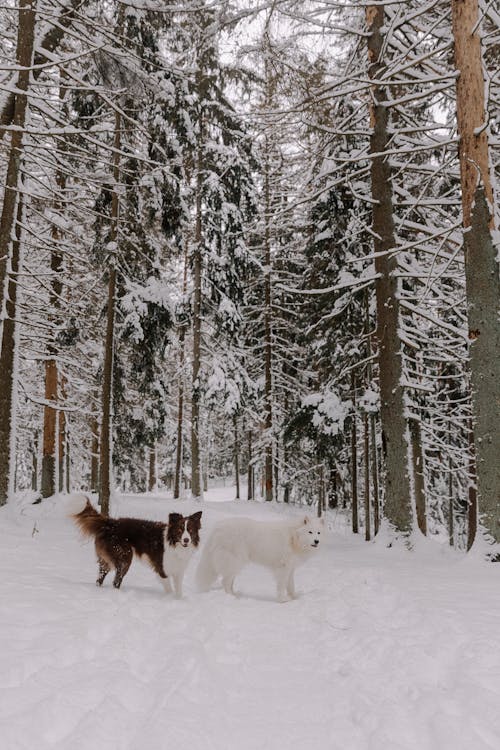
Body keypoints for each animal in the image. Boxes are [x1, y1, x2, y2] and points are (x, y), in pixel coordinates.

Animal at [73, 500, 201, 600]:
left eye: (190, 530)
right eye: (179, 530)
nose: (186, 540)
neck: (174, 544)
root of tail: (110, 523)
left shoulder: (178, 569)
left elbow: (178, 589)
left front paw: (178, 599)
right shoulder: (162, 569)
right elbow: (169, 588)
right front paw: (170, 599)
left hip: (108, 560)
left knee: (100, 576)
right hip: (124, 558)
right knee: (116, 581)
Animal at [195, 516, 324, 604]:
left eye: (319, 533)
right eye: (310, 532)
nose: (317, 541)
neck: (293, 537)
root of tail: (217, 528)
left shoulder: (290, 569)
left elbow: (291, 586)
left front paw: (294, 598)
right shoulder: (283, 568)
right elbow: (282, 586)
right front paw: (283, 600)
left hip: (234, 565)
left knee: (229, 582)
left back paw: (235, 594)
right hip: (234, 562)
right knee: (225, 582)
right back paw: (232, 598)